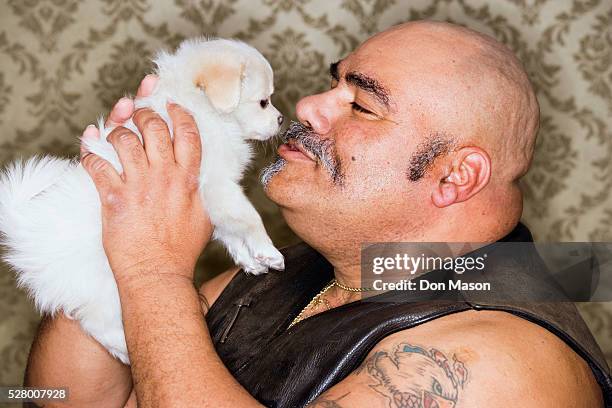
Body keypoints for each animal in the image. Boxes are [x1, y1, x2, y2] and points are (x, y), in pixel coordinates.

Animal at [0, 38, 286, 364]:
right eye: (263, 102)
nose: (281, 119)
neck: (203, 110)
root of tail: (24, 229)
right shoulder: (216, 185)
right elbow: (248, 219)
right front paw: (268, 250)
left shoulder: (214, 200)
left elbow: (231, 233)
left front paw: (249, 261)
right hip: (102, 286)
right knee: (95, 321)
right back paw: (125, 348)